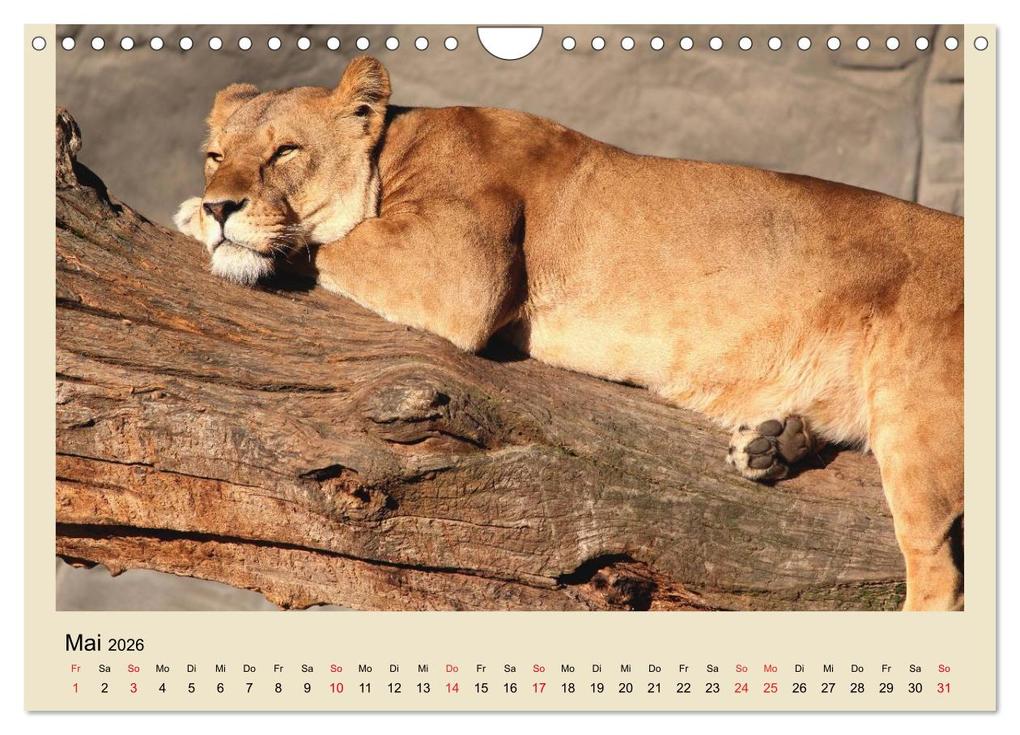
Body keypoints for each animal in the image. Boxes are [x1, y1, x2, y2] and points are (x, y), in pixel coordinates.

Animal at [175, 56, 964, 611]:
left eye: (284, 152)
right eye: (214, 154)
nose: (220, 205)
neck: (394, 146)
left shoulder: (458, 264)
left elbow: (328, 243)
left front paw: (199, 225)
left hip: (918, 417)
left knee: (939, 572)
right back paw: (774, 442)